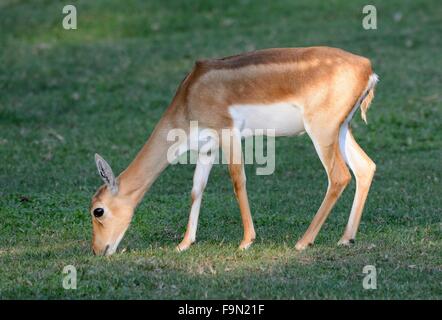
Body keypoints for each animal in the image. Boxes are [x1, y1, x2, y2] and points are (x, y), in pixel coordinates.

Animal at [90, 47, 380, 255]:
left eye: (98, 210)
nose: (97, 250)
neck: (189, 95)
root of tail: (367, 67)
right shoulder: (207, 148)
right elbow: (197, 188)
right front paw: (184, 243)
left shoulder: (228, 134)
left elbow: (237, 179)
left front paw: (246, 241)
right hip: (341, 130)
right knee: (365, 167)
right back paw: (346, 238)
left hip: (321, 131)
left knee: (339, 176)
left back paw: (303, 242)